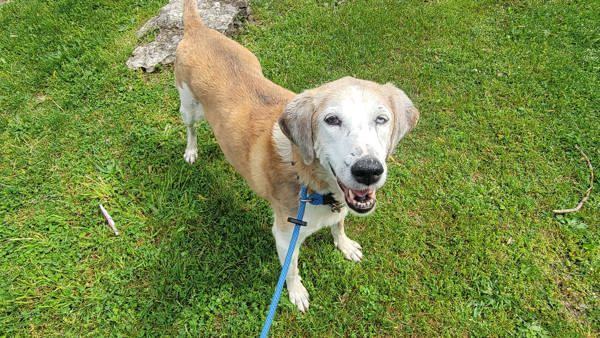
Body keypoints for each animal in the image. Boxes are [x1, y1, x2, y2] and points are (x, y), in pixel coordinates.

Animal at [173, 0, 418, 312]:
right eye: (331, 120)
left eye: (381, 119)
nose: (368, 170)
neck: (308, 179)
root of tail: (198, 28)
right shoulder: (284, 233)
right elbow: (291, 268)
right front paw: (296, 293)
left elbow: (339, 225)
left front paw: (345, 244)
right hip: (188, 106)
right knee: (191, 128)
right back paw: (191, 151)